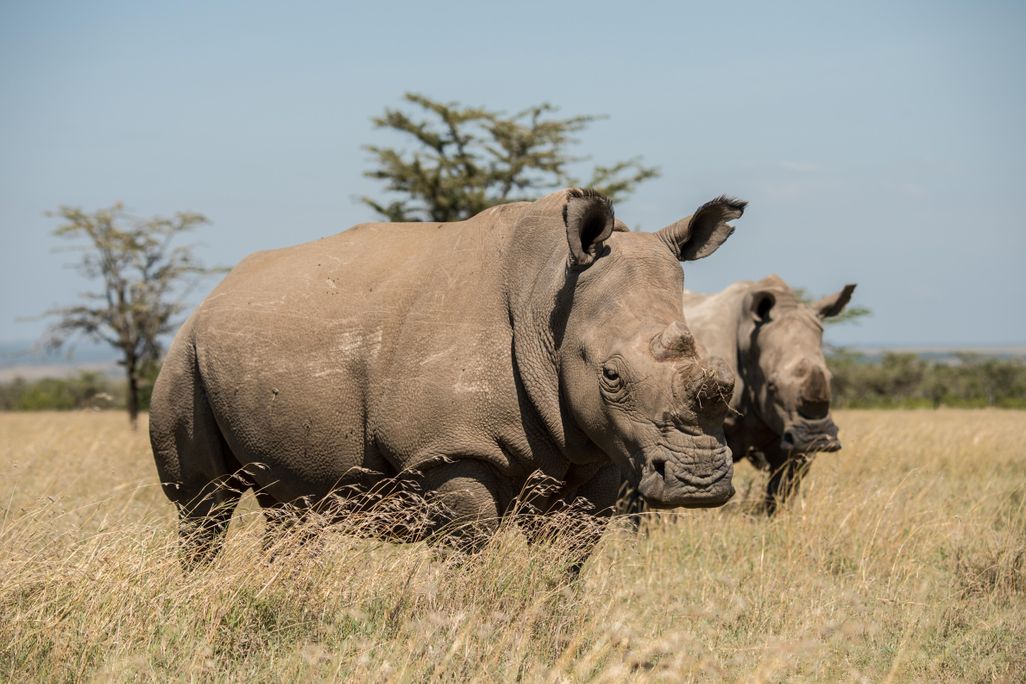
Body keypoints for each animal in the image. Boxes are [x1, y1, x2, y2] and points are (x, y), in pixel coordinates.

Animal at [150, 188, 746, 566]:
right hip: (184, 352)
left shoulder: (596, 453)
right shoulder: (450, 449)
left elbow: (563, 566)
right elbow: (467, 558)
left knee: (293, 507)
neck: (550, 300)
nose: (700, 483)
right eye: (612, 376)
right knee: (203, 504)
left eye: (722, 378)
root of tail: (218, 289)